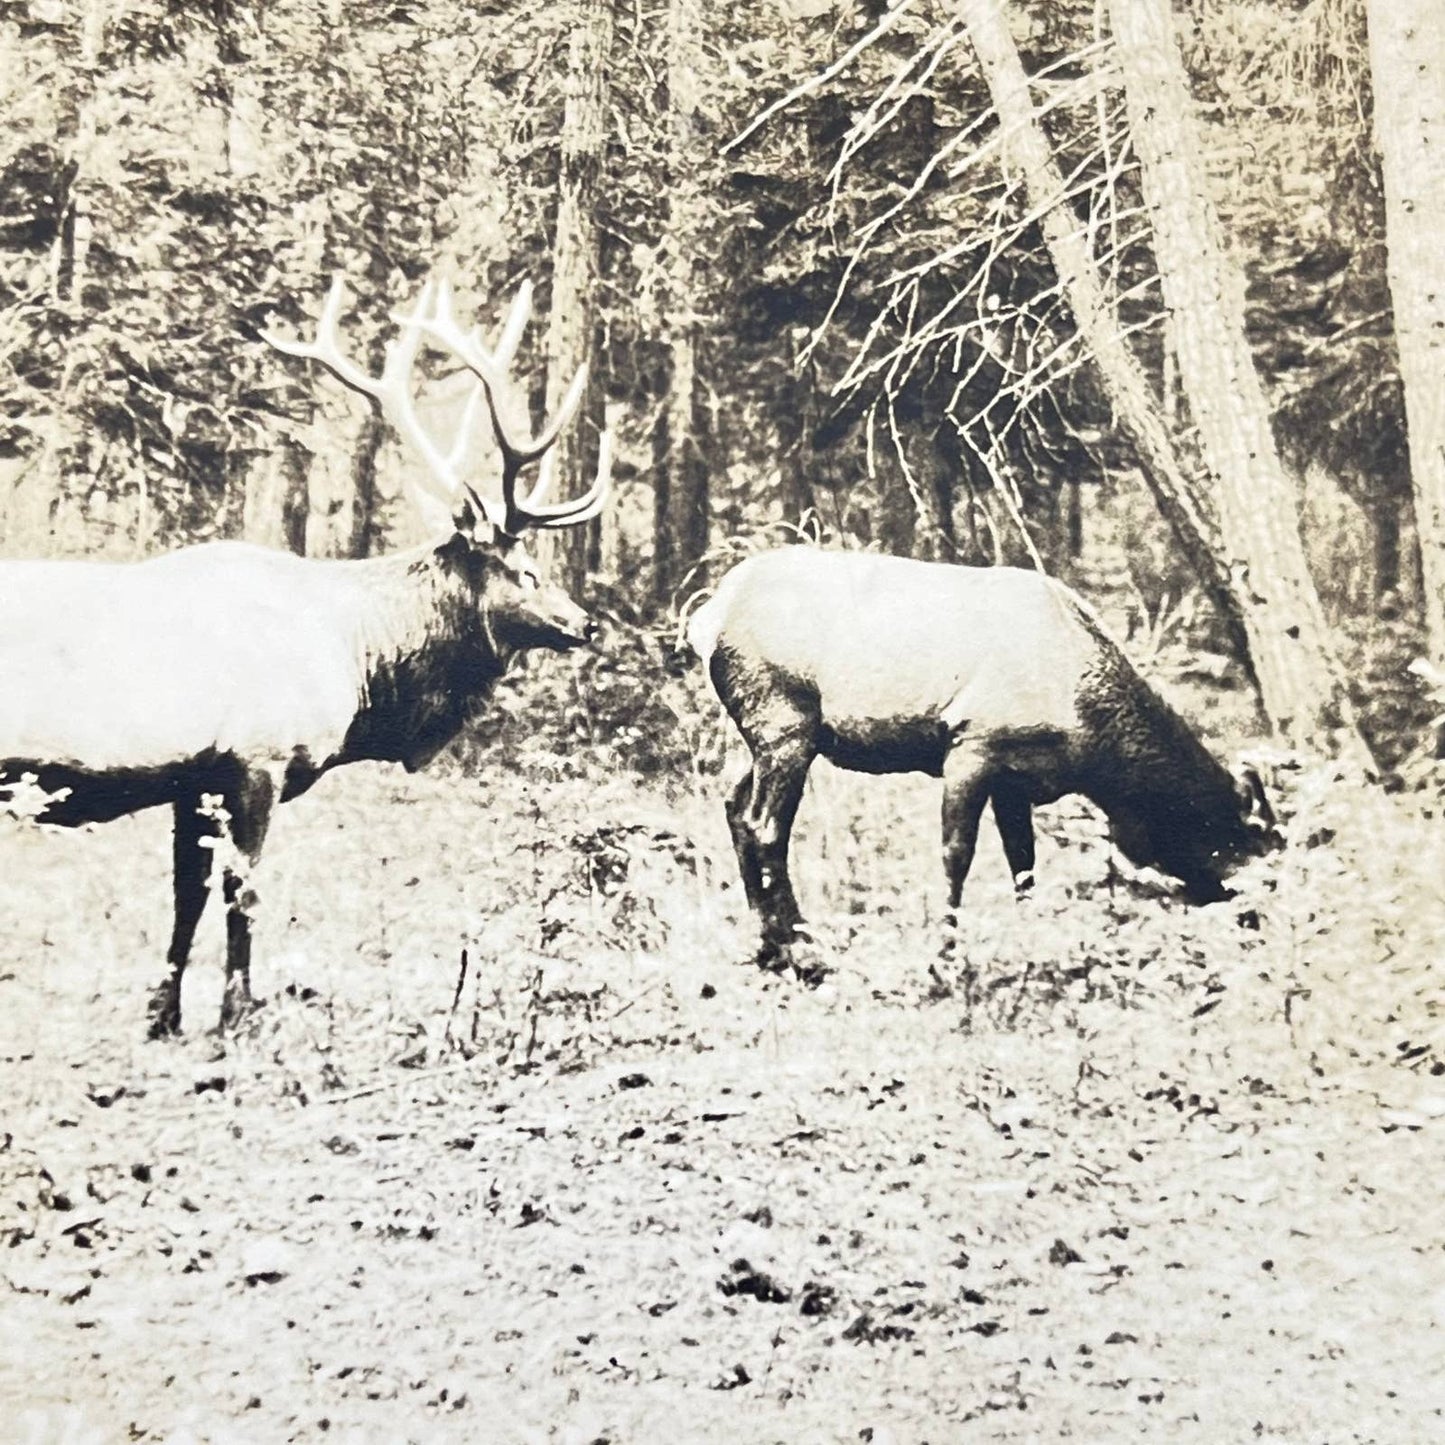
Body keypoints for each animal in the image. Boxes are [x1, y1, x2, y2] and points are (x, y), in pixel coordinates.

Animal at [0, 273, 609, 1040]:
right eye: (526, 572)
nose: (587, 623)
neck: (356, 662)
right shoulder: (254, 761)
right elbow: (242, 892)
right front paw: (237, 1016)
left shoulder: (193, 781)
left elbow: (185, 895)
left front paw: (163, 1016)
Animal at [687, 546, 1277, 965]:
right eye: (1243, 839)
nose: (1259, 920)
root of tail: (705, 619)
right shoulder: (971, 747)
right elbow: (958, 855)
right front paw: (946, 953)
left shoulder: (1016, 780)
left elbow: (1024, 862)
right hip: (787, 724)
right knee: (766, 826)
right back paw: (798, 946)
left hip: (766, 736)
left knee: (734, 807)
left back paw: (766, 941)